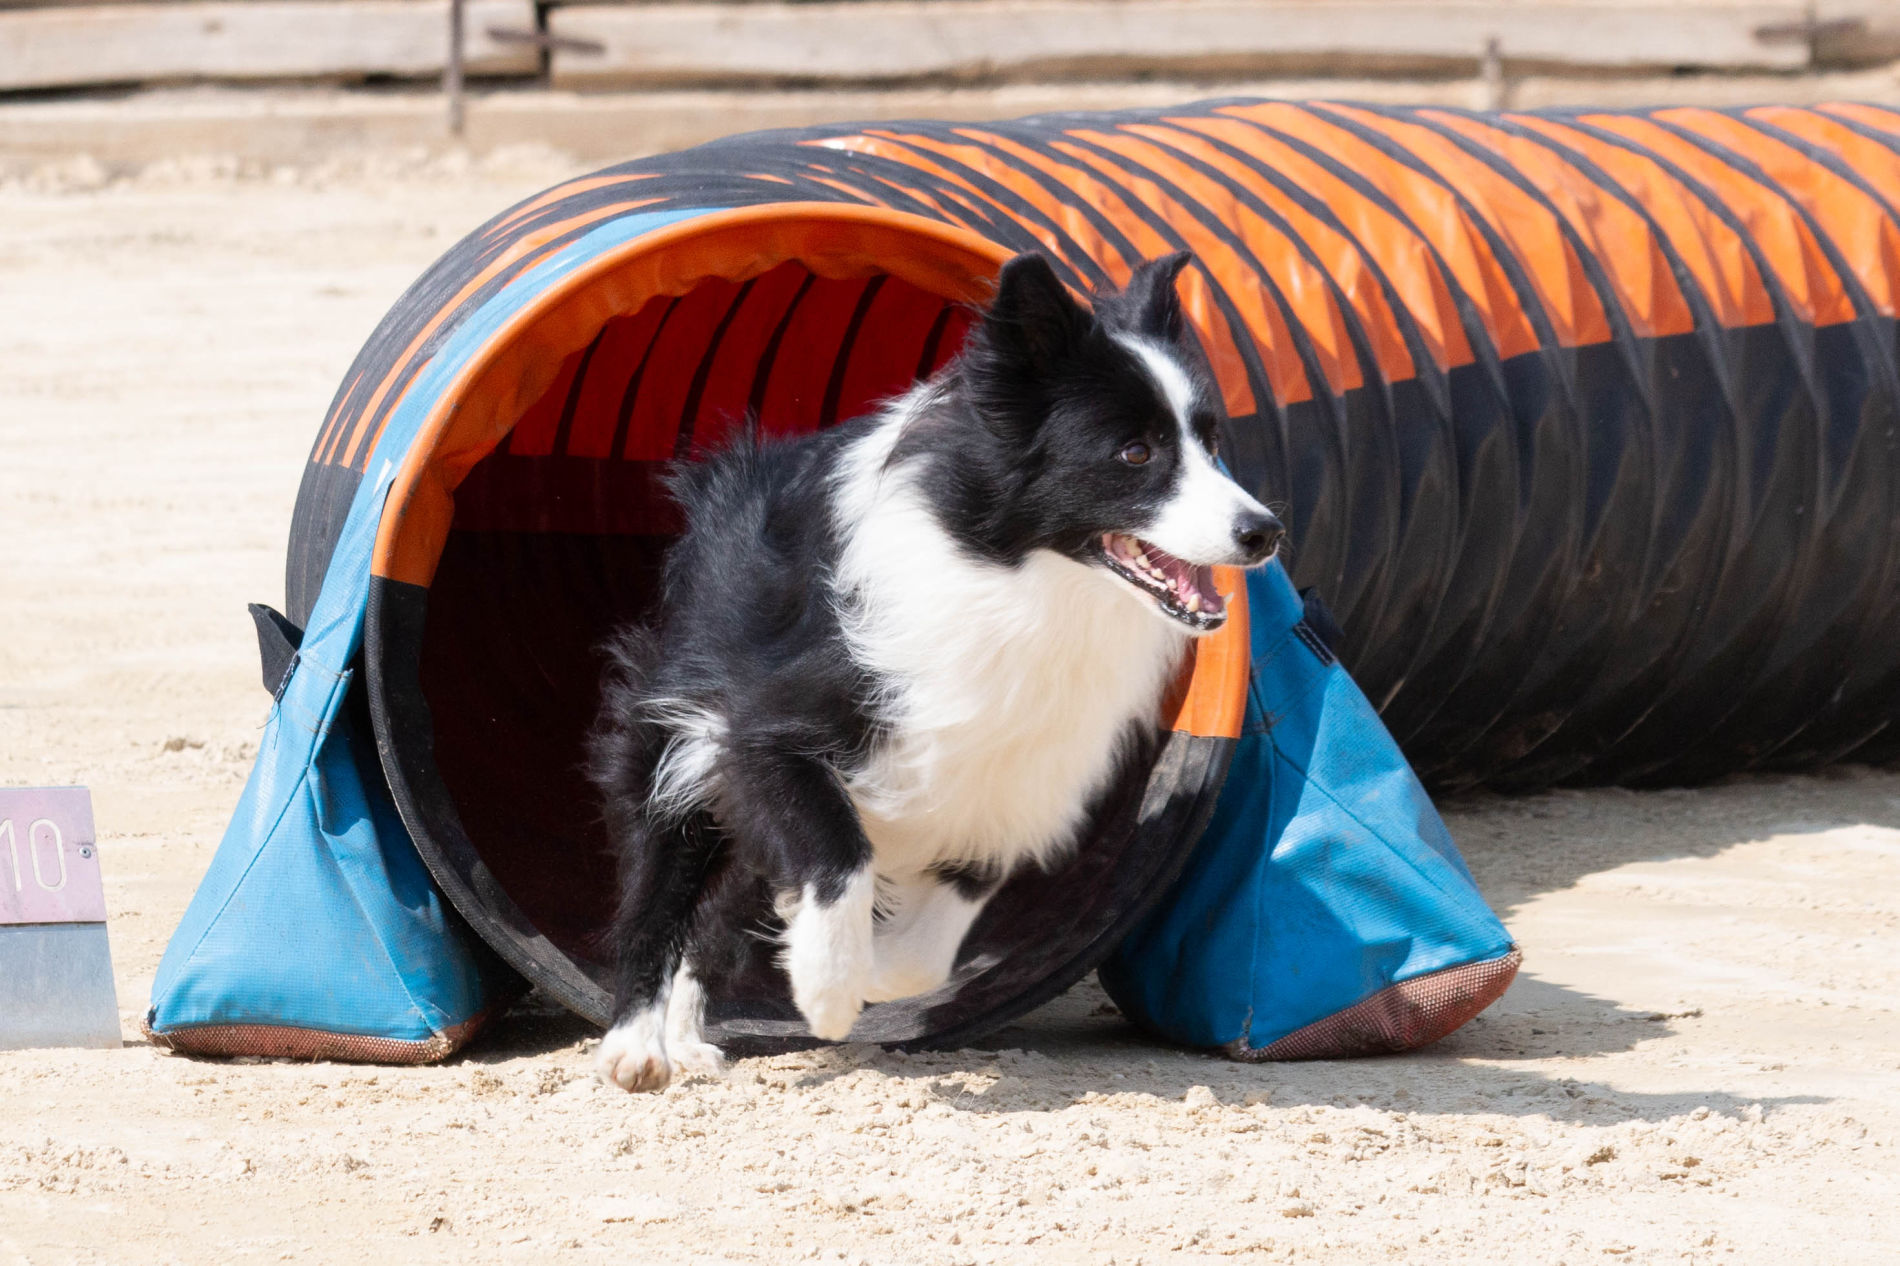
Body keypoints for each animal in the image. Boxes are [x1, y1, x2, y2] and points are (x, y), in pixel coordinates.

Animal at [589, 249, 1276, 1087]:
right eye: (1136, 452)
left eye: (1210, 443)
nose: (1264, 531)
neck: (1016, 577)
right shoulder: (759, 731)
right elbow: (838, 852)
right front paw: (827, 991)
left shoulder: (1002, 777)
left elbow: (930, 945)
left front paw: (865, 971)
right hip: (675, 731)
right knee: (659, 884)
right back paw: (637, 1046)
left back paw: (691, 1031)